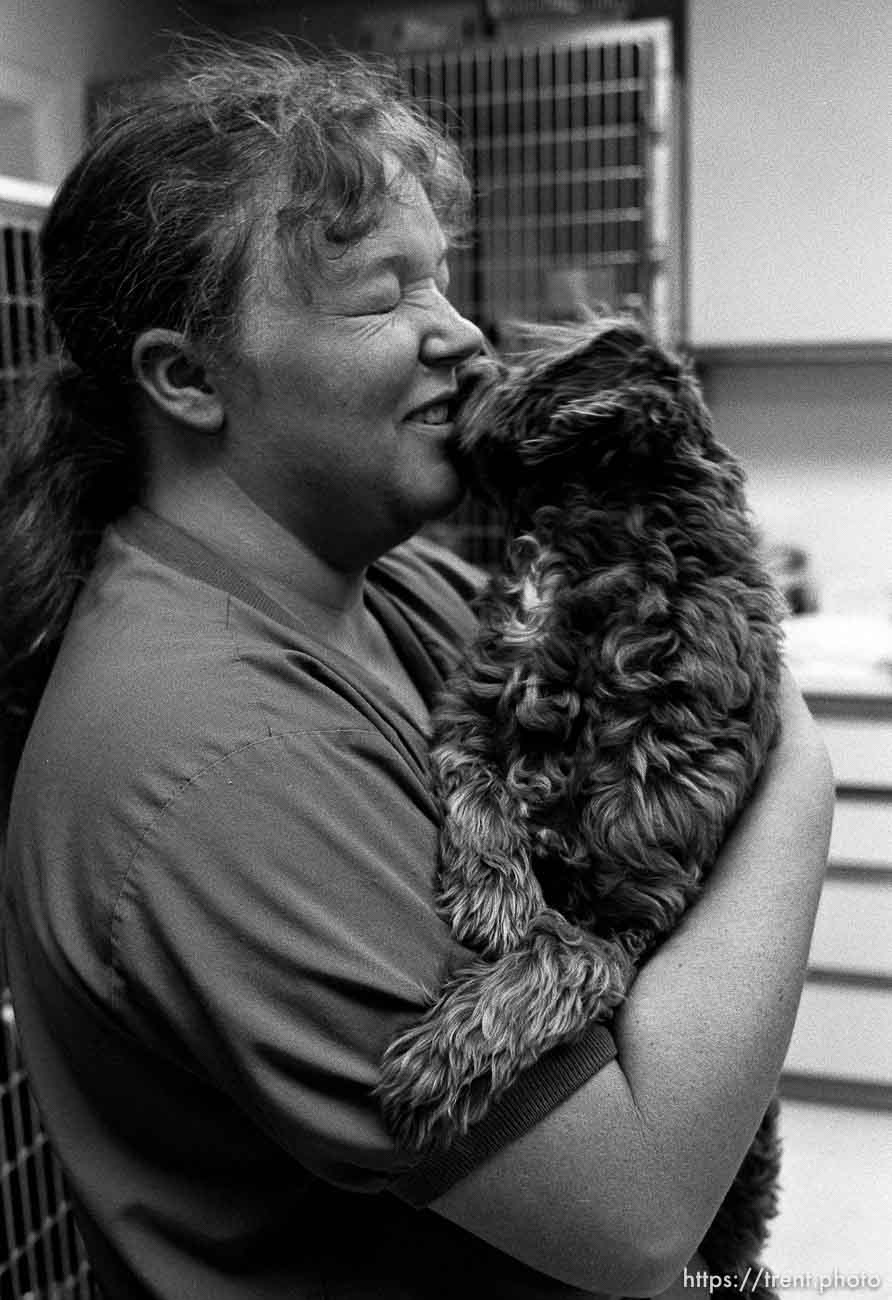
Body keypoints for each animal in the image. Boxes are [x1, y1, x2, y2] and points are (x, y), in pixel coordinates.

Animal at [377, 317, 790, 1289]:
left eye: (509, 365)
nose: (463, 357)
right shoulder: (468, 716)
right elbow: (479, 788)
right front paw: (497, 896)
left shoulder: (625, 921)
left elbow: (557, 963)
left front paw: (440, 1060)